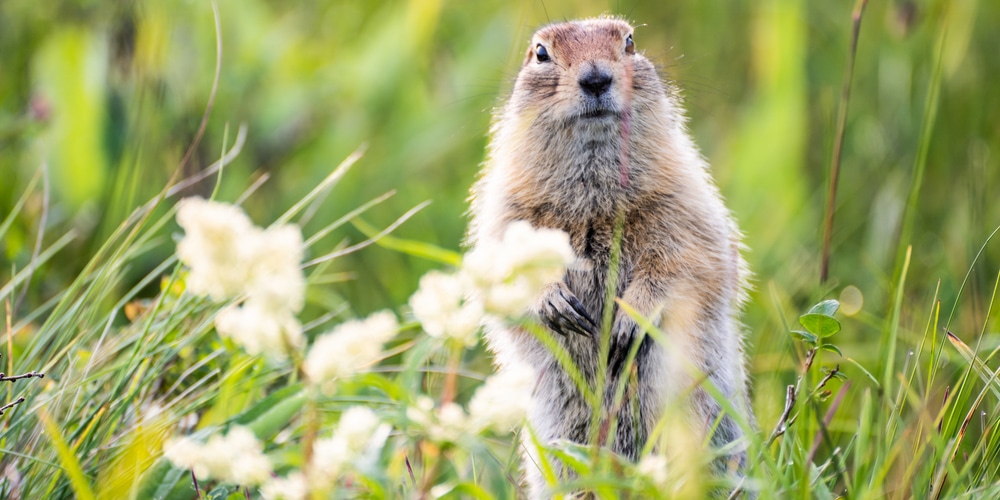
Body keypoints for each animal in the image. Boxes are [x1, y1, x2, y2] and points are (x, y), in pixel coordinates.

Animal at [468, 17, 752, 494]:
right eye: (540, 52)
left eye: (630, 41)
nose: (597, 77)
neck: (593, 198)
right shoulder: (507, 213)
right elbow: (504, 268)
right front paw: (556, 304)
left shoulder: (683, 204)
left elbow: (683, 263)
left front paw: (628, 321)